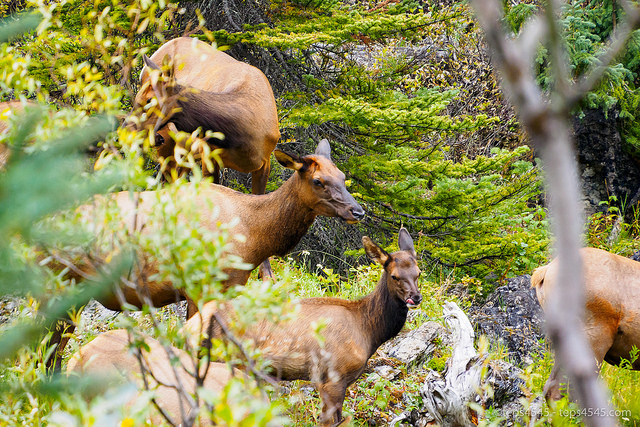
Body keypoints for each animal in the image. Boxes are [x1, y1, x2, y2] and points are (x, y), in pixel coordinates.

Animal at [47, 140, 362, 372]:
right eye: (319, 181)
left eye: (343, 178)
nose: (358, 211)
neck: (254, 236)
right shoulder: (199, 286)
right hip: (62, 284)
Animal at [186, 229, 420, 426]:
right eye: (394, 276)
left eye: (418, 273)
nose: (415, 297)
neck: (368, 331)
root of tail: (191, 325)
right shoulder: (332, 377)